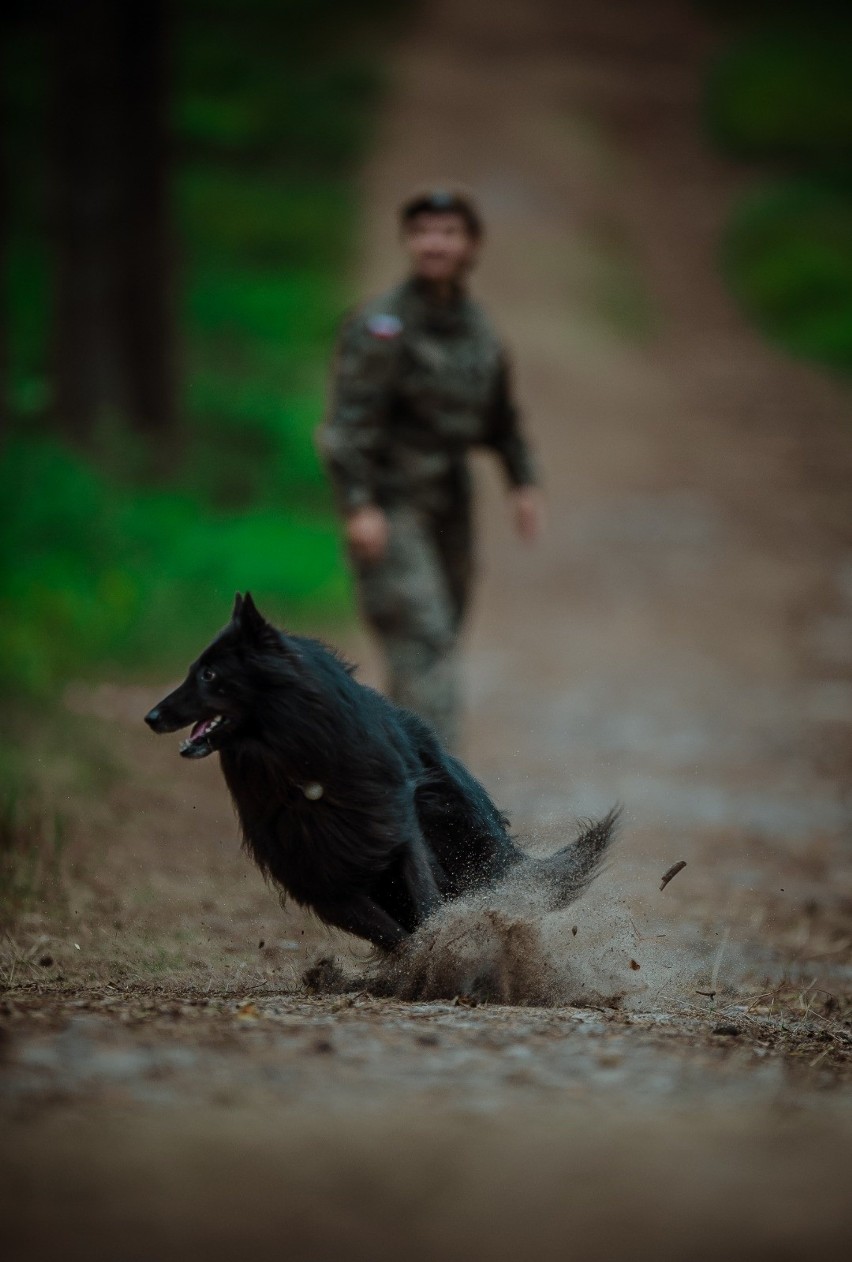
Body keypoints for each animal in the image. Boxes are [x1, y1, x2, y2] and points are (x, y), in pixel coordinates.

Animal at [145, 595, 613, 949]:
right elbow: (392, 935)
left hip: (462, 831)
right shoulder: (321, 880)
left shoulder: (395, 828)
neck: (301, 769)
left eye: (209, 674)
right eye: (192, 671)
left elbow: (426, 901)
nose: (151, 717)